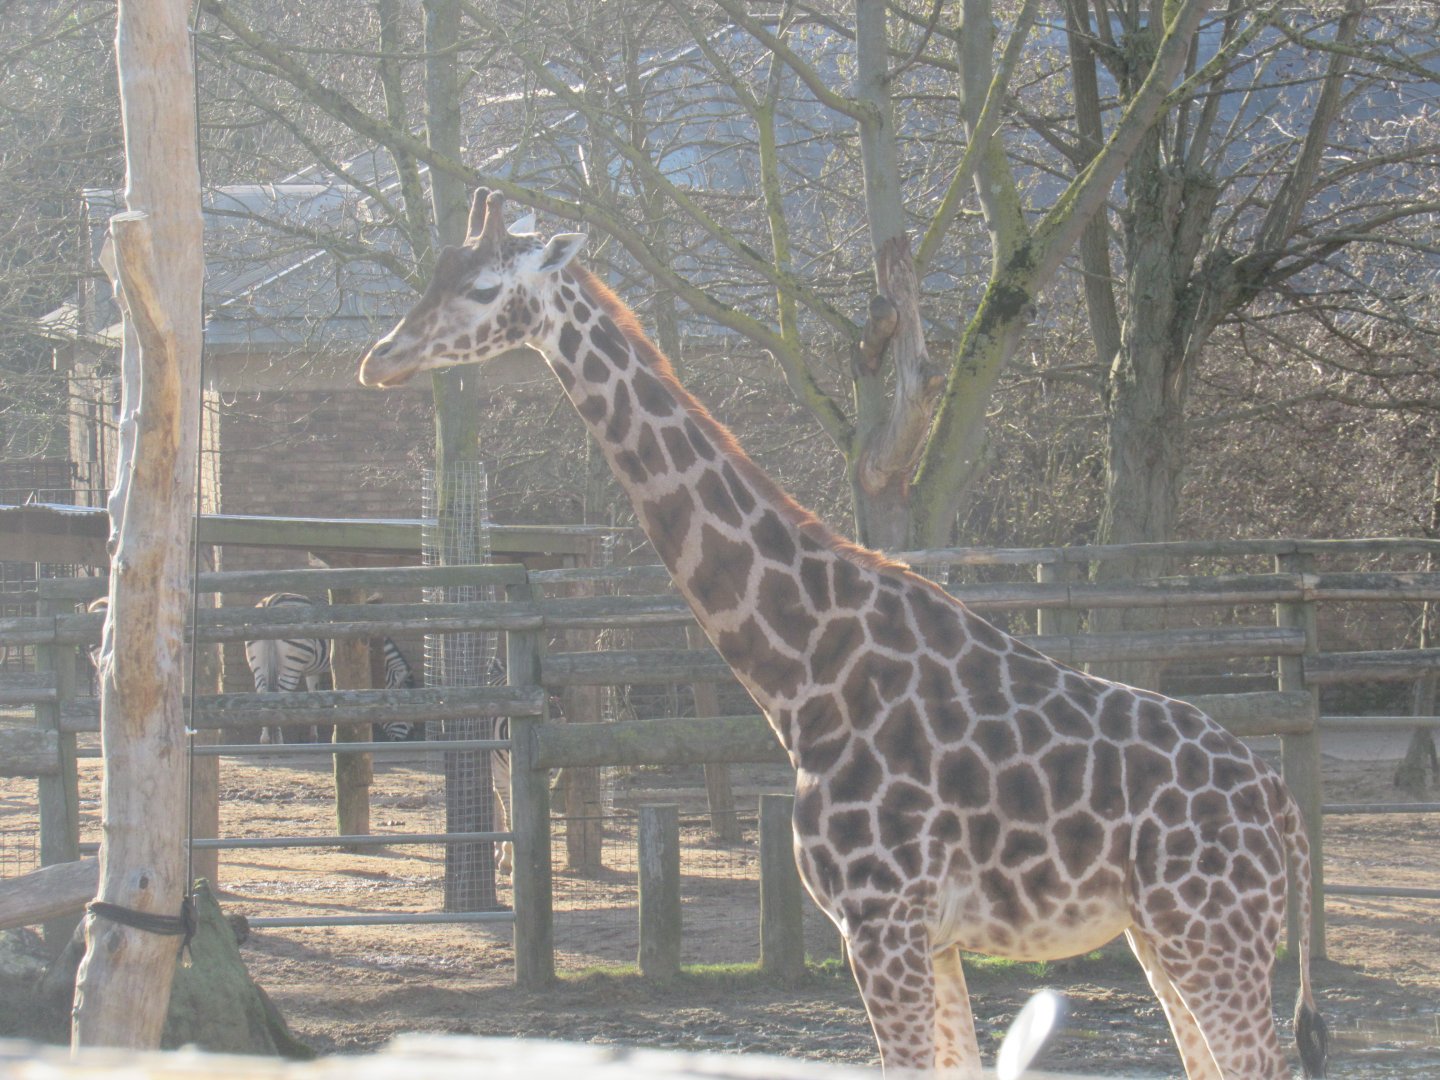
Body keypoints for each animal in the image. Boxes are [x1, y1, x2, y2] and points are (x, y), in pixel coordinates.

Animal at [359, 190, 1328, 1079]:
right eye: (432, 271)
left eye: (484, 287)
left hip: (1215, 933)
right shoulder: (929, 935)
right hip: (1162, 936)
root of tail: (1281, 803)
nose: (380, 357)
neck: (806, 673)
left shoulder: (881, 920)